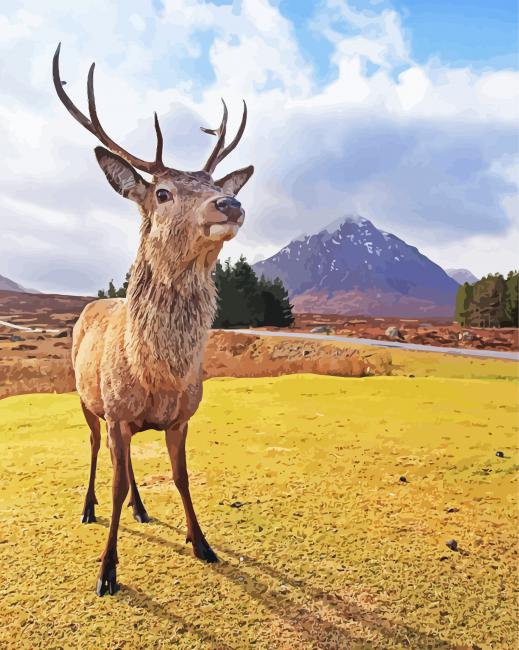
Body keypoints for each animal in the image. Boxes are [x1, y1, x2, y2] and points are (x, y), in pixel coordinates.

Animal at [52, 44, 254, 596]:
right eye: (162, 193)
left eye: (212, 183)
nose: (230, 202)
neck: (158, 376)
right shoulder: (117, 410)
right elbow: (116, 481)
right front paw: (107, 571)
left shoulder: (181, 417)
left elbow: (180, 477)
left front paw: (202, 543)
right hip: (85, 398)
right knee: (97, 452)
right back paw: (88, 508)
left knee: (125, 471)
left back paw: (142, 510)